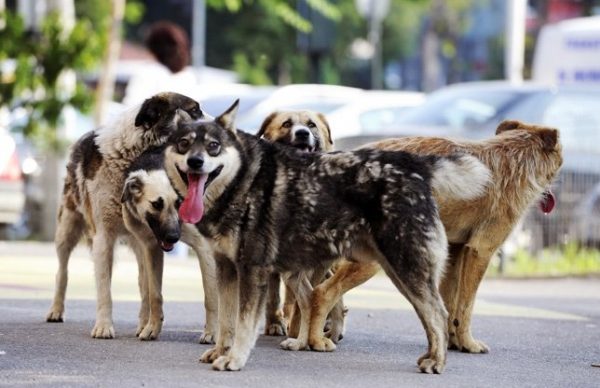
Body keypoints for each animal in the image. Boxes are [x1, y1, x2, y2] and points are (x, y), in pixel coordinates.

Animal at [164, 100, 492, 372]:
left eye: (213, 146)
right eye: (183, 144)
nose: (195, 162)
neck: (243, 179)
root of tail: (415, 165)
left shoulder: (252, 272)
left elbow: (243, 325)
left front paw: (234, 359)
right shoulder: (227, 269)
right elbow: (226, 322)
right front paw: (222, 351)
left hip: (406, 268)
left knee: (437, 313)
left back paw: (438, 361)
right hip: (397, 273)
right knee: (429, 316)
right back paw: (430, 356)